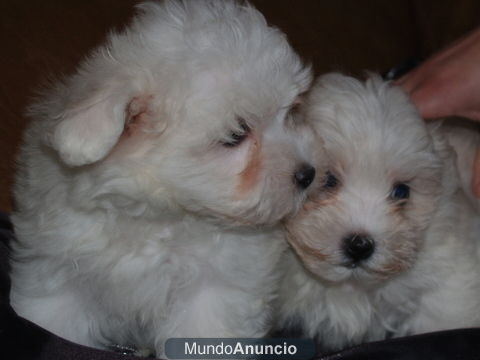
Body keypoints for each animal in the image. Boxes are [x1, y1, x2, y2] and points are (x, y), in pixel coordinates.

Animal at [9, 0, 316, 354]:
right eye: (237, 135)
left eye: (289, 113)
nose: (307, 174)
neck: (158, 219)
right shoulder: (61, 273)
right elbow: (55, 319)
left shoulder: (215, 288)